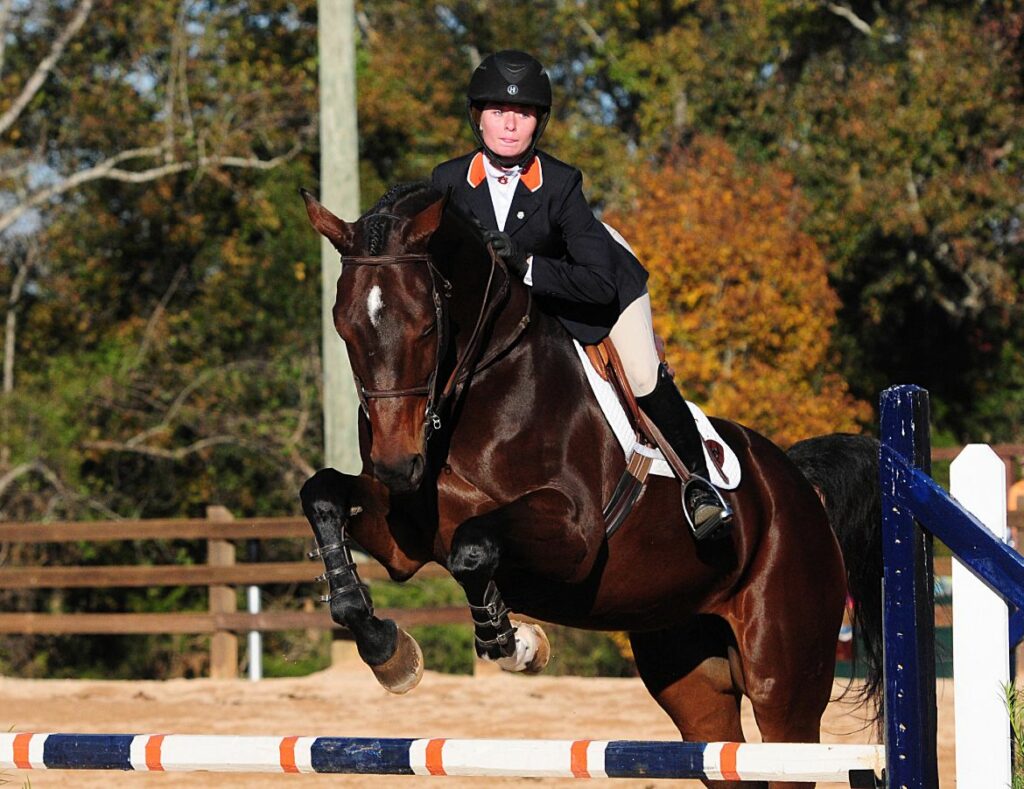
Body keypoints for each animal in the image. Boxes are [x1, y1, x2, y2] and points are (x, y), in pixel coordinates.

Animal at [299, 182, 884, 789]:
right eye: (343, 326)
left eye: (427, 327)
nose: (396, 466)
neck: (474, 391)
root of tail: (796, 484)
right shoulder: (406, 539)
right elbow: (322, 495)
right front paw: (385, 646)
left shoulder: (576, 535)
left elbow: (473, 546)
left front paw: (515, 642)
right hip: (689, 670)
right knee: (719, 741)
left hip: (785, 680)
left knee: (786, 731)